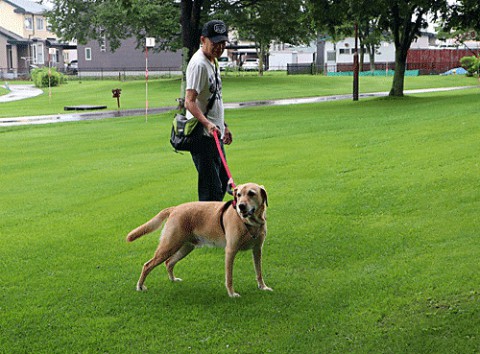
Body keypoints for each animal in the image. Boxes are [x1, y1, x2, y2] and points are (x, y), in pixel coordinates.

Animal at [125, 184, 272, 298]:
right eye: (239, 194)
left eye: (251, 193)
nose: (241, 206)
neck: (250, 223)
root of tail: (174, 208)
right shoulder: (230, 251)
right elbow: (229, 277)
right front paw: (231, 293)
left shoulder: (257, 250)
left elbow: (259, 272)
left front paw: (262, 287)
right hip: (169, 246)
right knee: (147, 265)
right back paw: (140, 286)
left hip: (185, 247)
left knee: (169, 263)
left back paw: (173, 279)